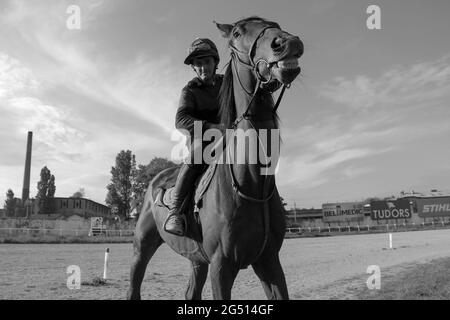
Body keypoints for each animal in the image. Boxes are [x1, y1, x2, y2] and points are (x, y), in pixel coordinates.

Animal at [126, 15, 302, 300]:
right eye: (238, 33)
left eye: (275, 24)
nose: (288, 42)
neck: (251, 182)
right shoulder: (222, 266)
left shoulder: (269, 262)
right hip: (142, 247)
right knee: (134, 283)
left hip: (197, 259)